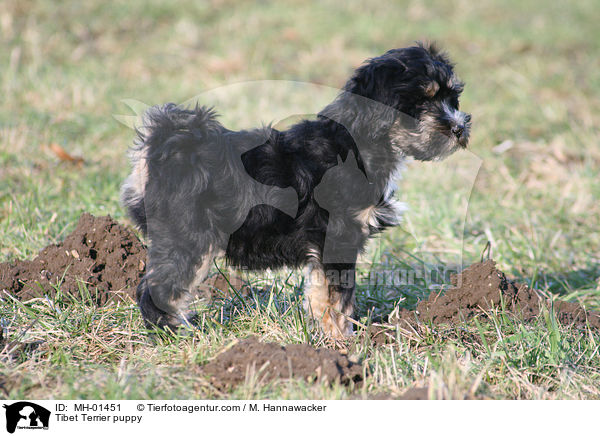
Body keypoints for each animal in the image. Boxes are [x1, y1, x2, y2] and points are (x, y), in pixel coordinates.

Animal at [120, 41, 468, 338]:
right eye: (421, 101)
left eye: (452, 98)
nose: (459, 128)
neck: (360, 140)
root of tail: (165, 144)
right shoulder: (339, 236)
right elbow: (339, 297)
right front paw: (346, 340)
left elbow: (320, 294)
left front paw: (332, 334)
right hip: (189, 237)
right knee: (157, 287)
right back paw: (174, 333)